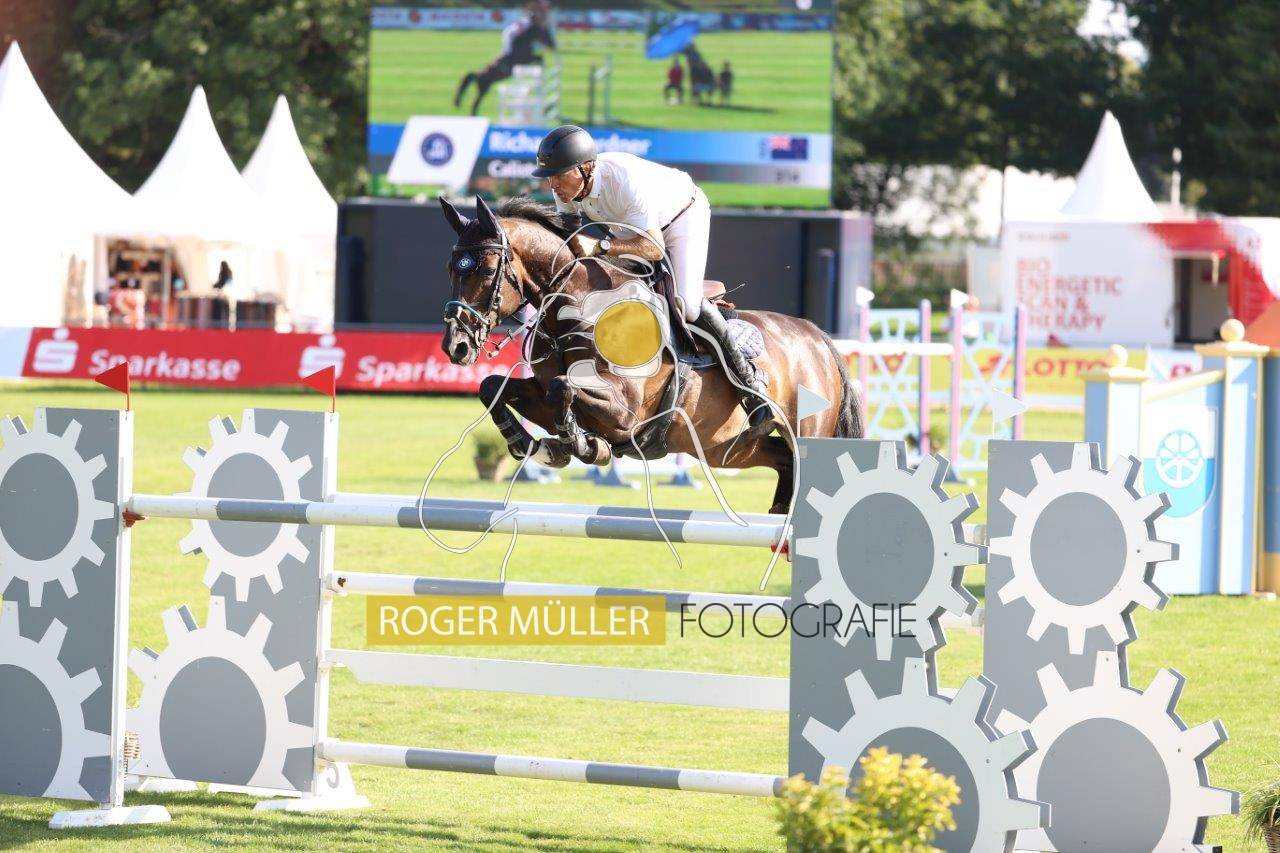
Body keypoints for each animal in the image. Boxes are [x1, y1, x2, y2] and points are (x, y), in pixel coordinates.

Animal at [438, 195, 863, 514]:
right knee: (783, 461)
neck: (578, 310)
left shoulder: (626, 413)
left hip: (803, 431)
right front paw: (536, 446)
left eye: (486, 269)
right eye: (451, 268)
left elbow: (564, 388)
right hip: (729, 448)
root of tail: (817, 337)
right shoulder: (541, 395)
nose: (455, 346)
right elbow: (494, 386)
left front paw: (580, 445)